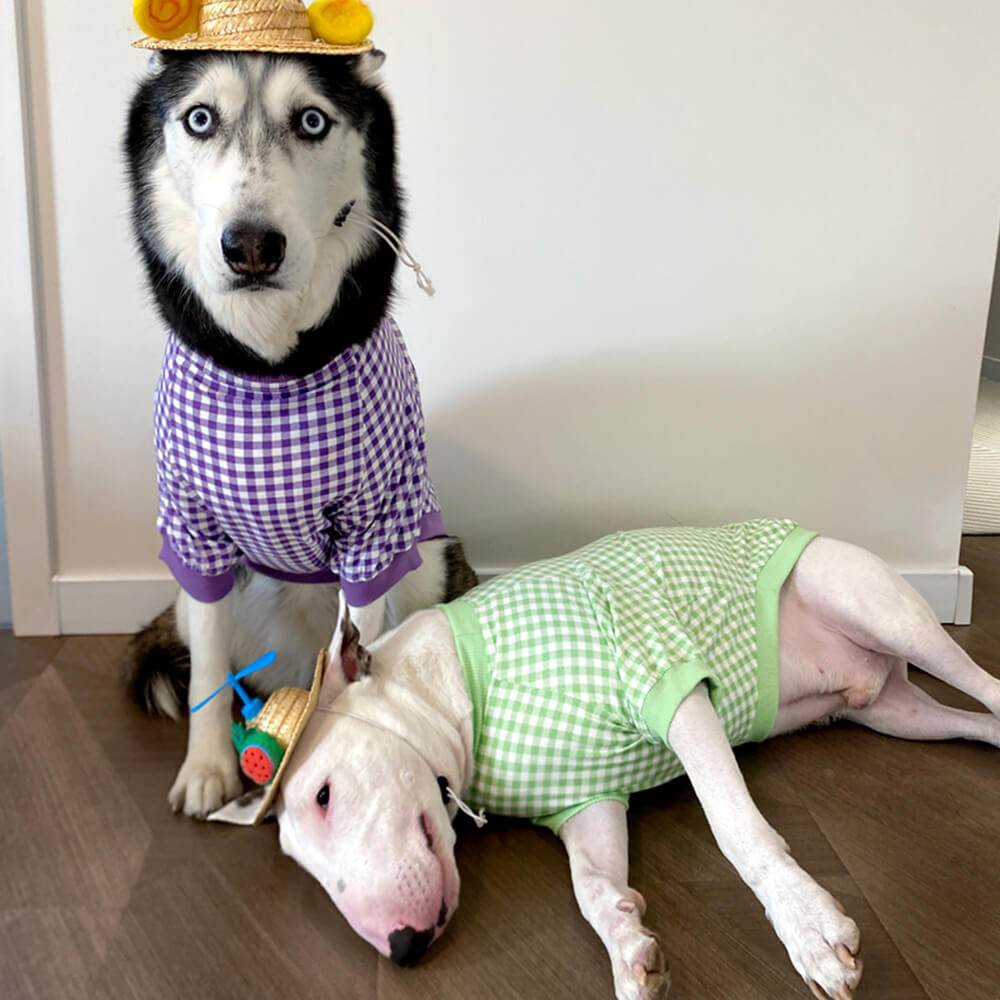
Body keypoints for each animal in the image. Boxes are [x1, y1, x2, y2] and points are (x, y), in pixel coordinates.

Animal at [121, 50, 476, 820]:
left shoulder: (375, 530)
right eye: (200, 118)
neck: (269, 373)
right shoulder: (193, 530)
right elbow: (206, 676)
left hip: (428, 558)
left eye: (312, 121)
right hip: (196, 606)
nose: (252, 246)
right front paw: (208, 770)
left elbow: (365, 643)